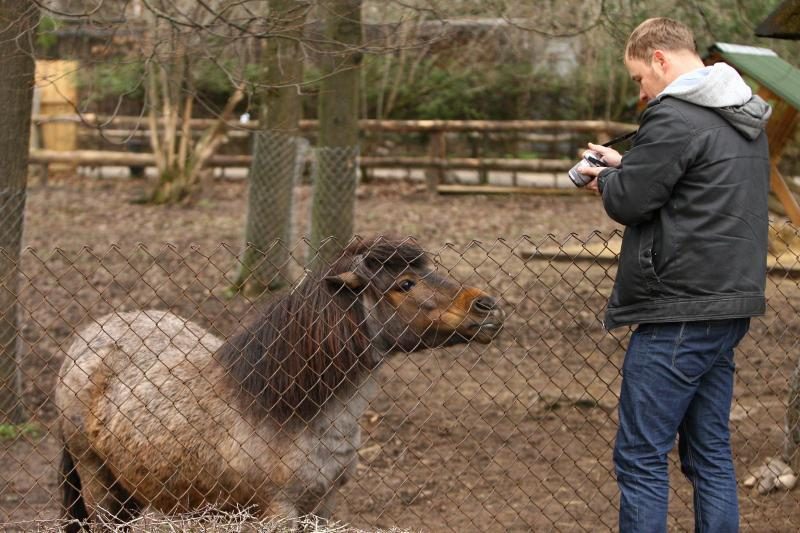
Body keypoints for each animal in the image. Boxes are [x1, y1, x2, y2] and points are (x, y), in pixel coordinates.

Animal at [56, 237, 504, 528]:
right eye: (405, 284)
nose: (488, 306)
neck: (291, 412)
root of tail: (87, 336)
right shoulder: (277, 512)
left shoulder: (322, 505)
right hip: (98, 484)